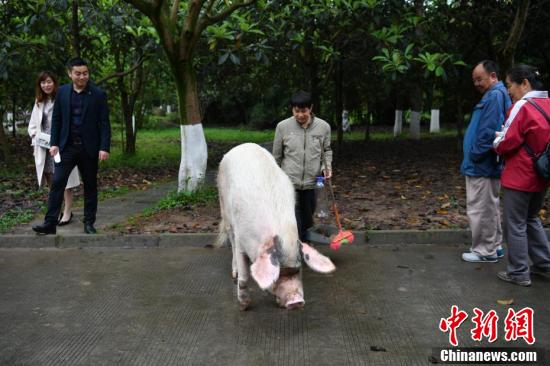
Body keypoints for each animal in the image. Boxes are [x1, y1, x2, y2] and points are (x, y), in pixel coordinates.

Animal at [217, 142, 336, 310]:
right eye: (279, 273)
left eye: (298, 269)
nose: (296, 302)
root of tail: (243, 145)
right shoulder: (241, 239)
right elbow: (244, 276)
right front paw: (244, 306)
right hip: (224, 208)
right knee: (231, 240)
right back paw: (234, 273)